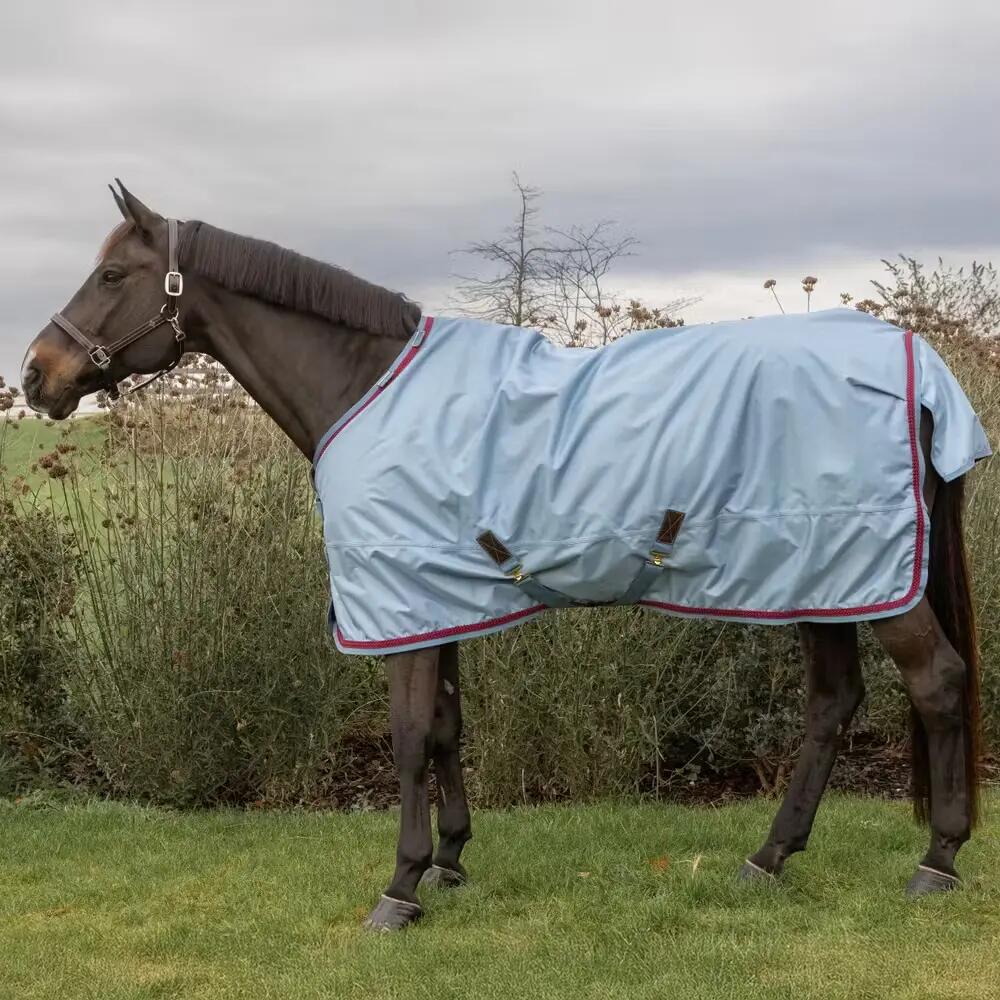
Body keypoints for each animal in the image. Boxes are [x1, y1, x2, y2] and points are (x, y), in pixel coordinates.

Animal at [21, 182, 989, 931]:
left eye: (112, 274)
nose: (36, 375)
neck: (365, 385)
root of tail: (916, 362)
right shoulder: (431, 597)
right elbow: (449, 726)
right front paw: (451, 861)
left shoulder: (400, 601)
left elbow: (410, 737)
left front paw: (401, 888)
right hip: (818, 577)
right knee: (833, 704)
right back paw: (769, 857)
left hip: (863, 577)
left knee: (937, 683)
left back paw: (936, 861)